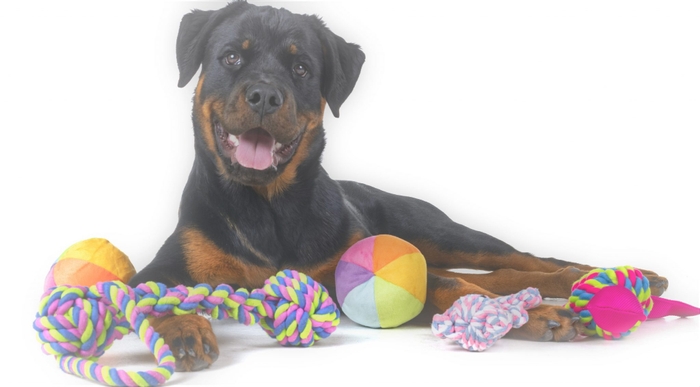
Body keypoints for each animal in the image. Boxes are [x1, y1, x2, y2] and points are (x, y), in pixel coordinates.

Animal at [129, 1, 668, 372]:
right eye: (231, 58)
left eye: (301, 68)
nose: (264, 95)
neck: (268, 205)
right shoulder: (164, 265)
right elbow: (148, 291)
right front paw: (184, 326)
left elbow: (450, 285)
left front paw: (525, 315)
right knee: (503, 273)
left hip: (436, 230)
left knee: (524, 260)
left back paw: (606, 276)